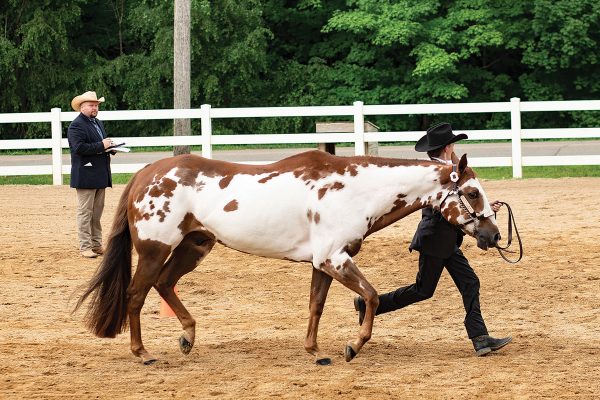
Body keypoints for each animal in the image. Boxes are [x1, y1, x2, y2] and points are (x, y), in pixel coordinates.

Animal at [76, 150, 496, 366]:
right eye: (472, 192)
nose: (493, 235)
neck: (352, 190)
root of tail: (146, 171)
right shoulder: (333, 258)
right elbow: (372, 297)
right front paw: (352, 347)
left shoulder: (323, 262)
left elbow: (316, 306)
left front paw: (316, 352)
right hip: (155, 250)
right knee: (136, 296)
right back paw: (143, 353)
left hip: (195, 246)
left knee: (164, 285)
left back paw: (187, 337)